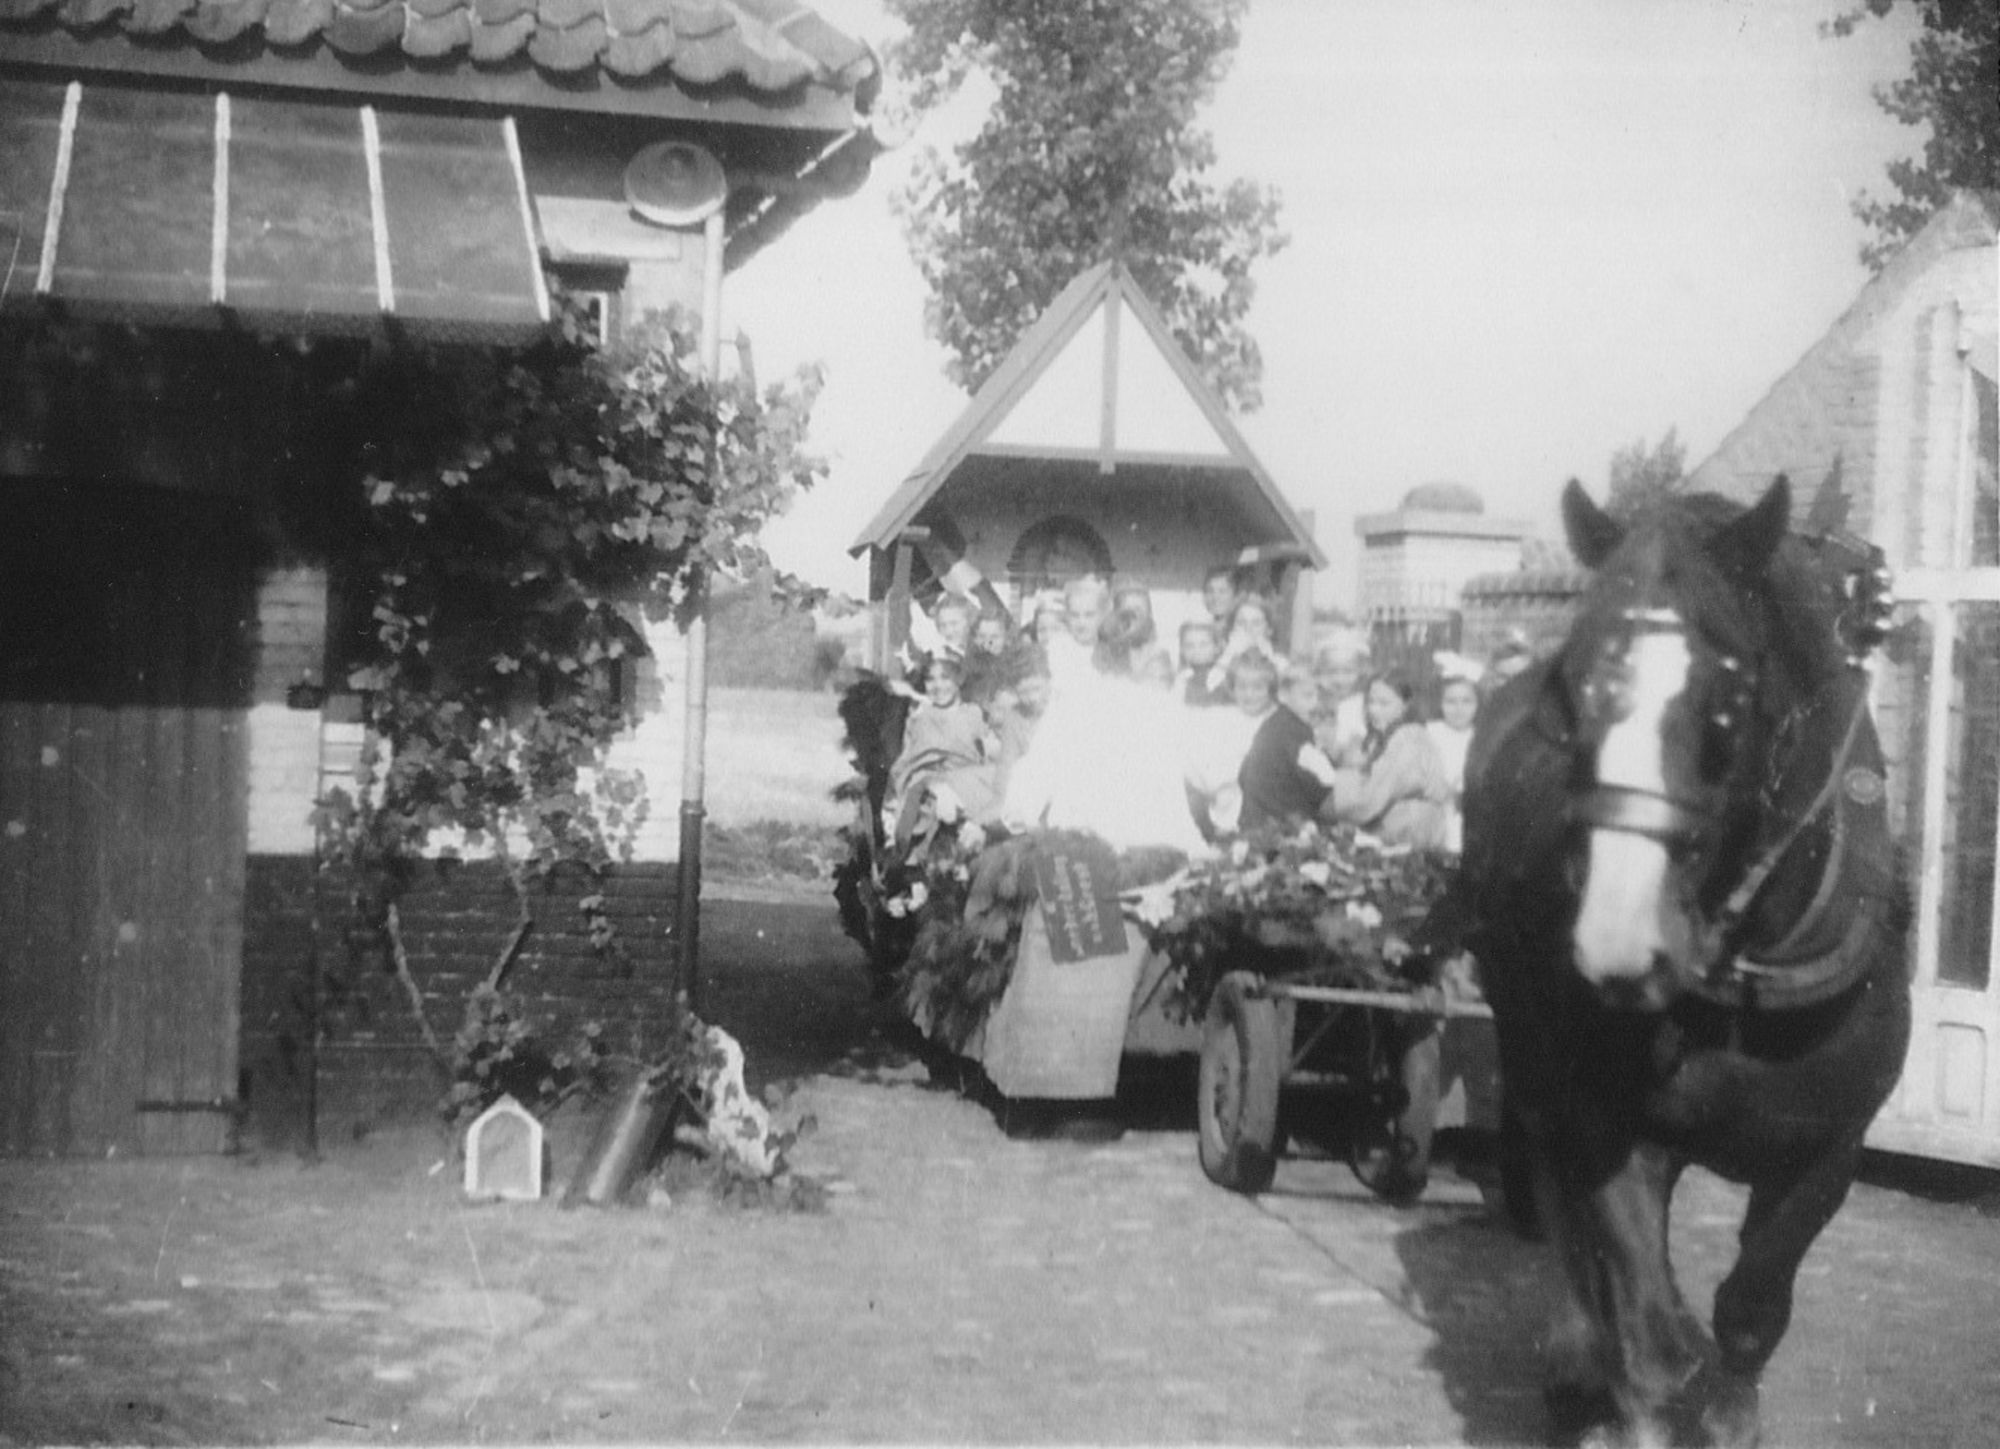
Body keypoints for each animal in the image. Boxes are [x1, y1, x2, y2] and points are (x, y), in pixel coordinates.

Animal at [1464, 480, 1912, 1440]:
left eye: (1728, 697)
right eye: (1570, 691)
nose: (1618, 938)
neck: (1749, 980)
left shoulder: (1830, 1151)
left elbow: (1747, 1314)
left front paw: (1723, 1404)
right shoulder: (1602, 1115)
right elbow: (1650, 1330)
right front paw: (1631, 1389)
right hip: (1525, 1039)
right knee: (1558, 1192)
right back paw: (1575, 1356)